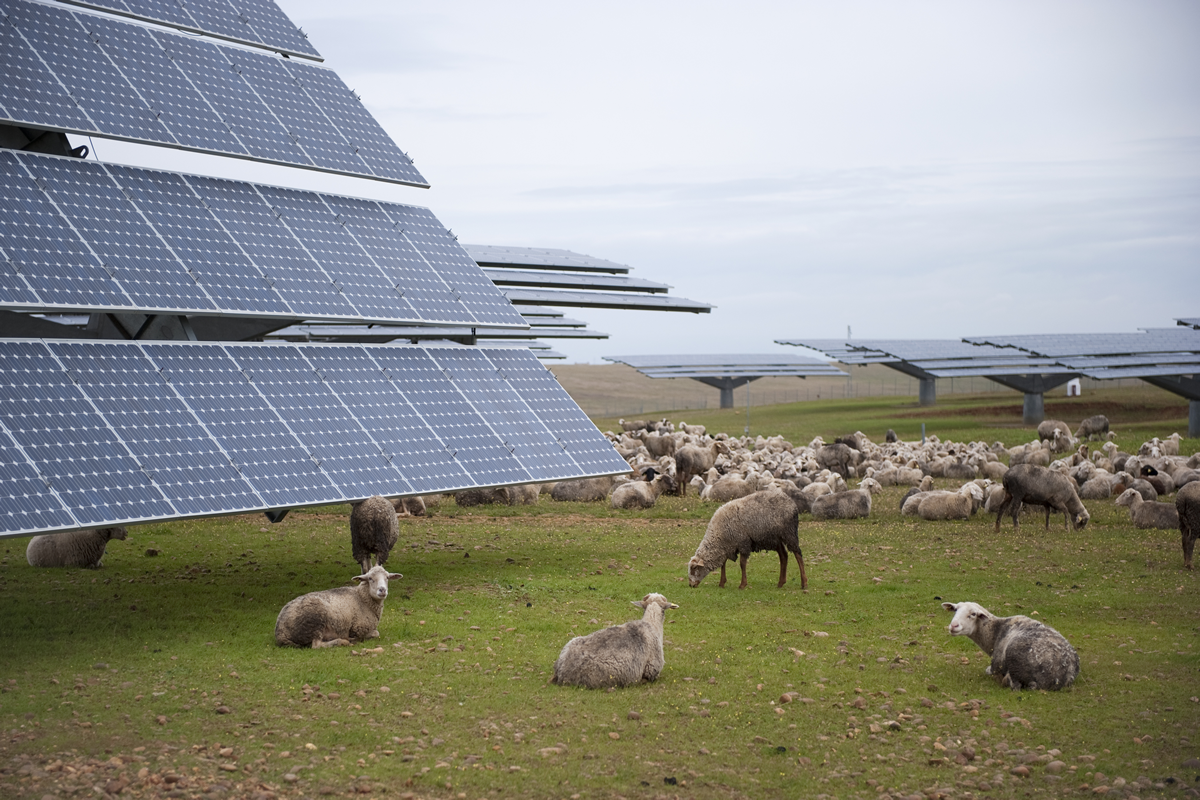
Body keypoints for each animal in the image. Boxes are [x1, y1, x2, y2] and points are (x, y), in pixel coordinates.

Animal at [940, 604, 1084, 690]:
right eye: (956, 610)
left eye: (973, 614)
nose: (953, 626)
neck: (995, 632)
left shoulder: (996, 664)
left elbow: (989, 670)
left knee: (1015, 685)